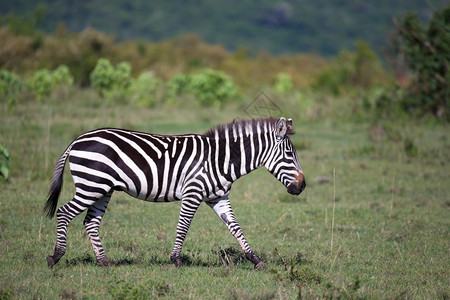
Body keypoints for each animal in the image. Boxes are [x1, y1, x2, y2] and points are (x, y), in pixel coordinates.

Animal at [44, 117, 306, 270]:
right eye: (290, 155)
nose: (302, 186)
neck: (220, 160)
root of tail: (78, 139)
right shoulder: (193, 193)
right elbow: (183, 226)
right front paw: (176, 259)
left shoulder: (218, 197)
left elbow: (235, 227)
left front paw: (255, 260)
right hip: (91, 184)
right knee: (64, 212)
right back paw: (56, 256)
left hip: (103, 188)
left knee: (91, 221)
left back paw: (104, 261)